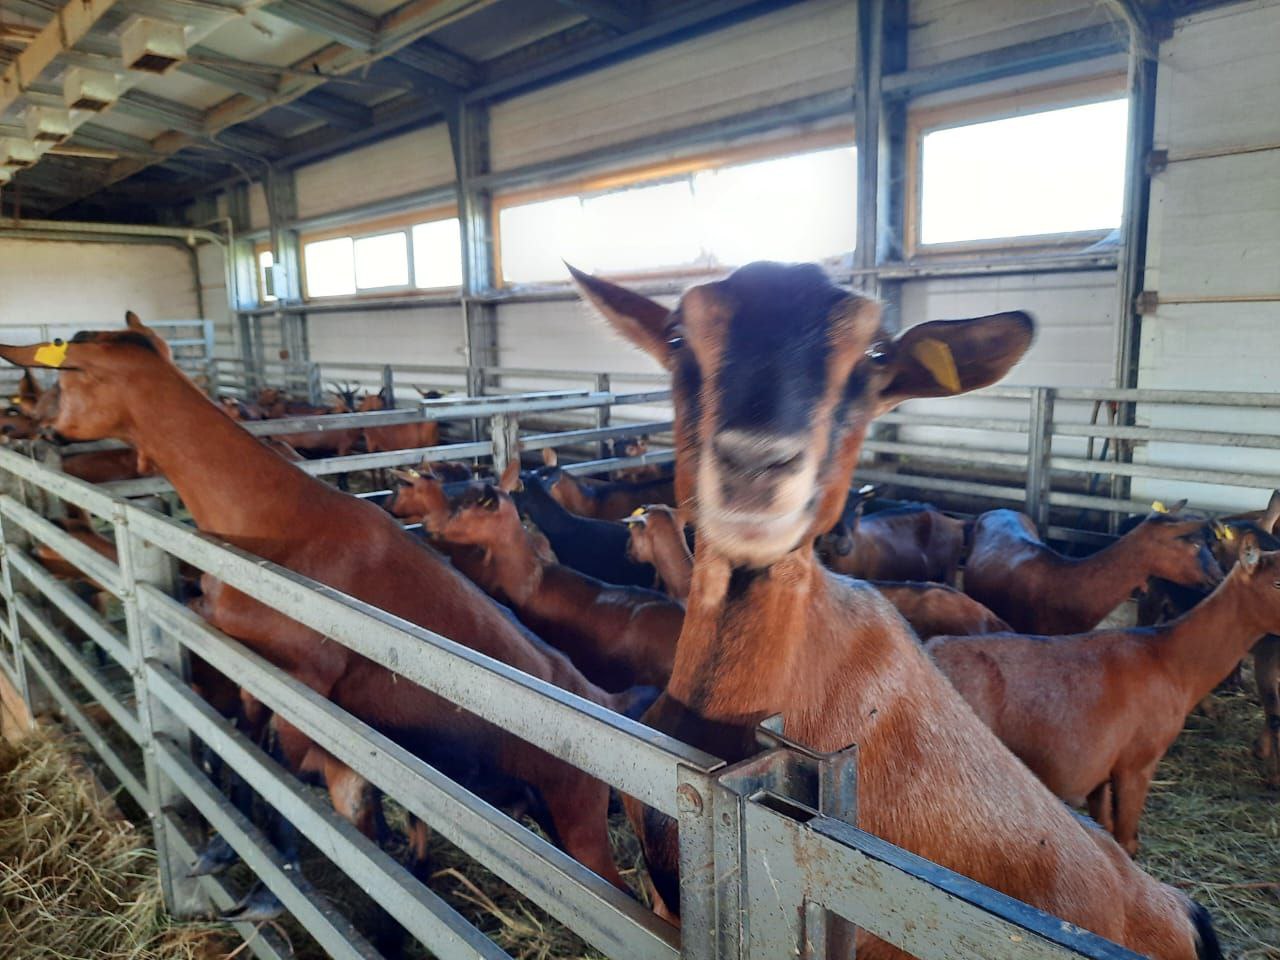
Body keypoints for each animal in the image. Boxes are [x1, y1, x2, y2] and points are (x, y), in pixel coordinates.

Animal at [931, 535, 1280, 855]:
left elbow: (1105, 831)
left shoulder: (1101, 767)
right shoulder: (1138, 761)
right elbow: (1127, 841)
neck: (1169, 660)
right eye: (1277, 581)